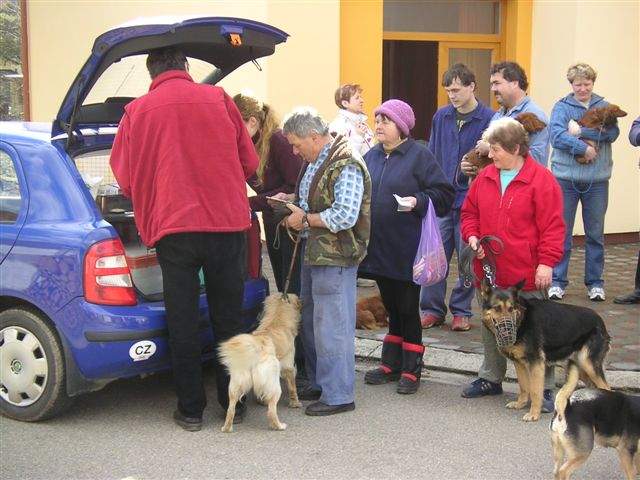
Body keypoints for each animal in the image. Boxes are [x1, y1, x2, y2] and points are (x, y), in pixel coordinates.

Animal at [219, 294, 302, 434]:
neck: (276, 320)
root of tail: (257, 346)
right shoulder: (289, 368)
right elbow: (292, 388)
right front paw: (295, 403)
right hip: (274, 385)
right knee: (271, 411)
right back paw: (279, 426)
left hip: (236, 385)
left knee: (231, 409)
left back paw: (227, 428)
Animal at [480, 280, 608, 422]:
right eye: (497, 308)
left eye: (511, 309)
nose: (507, 328)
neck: (522, 319)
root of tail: (600, 320)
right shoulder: (519, 364)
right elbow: (524, 387)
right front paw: (520, 404)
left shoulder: (536, 364)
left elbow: (535, 390)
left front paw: (534, 414)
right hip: (581, 367)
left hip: (588, 364)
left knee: (605, 387)